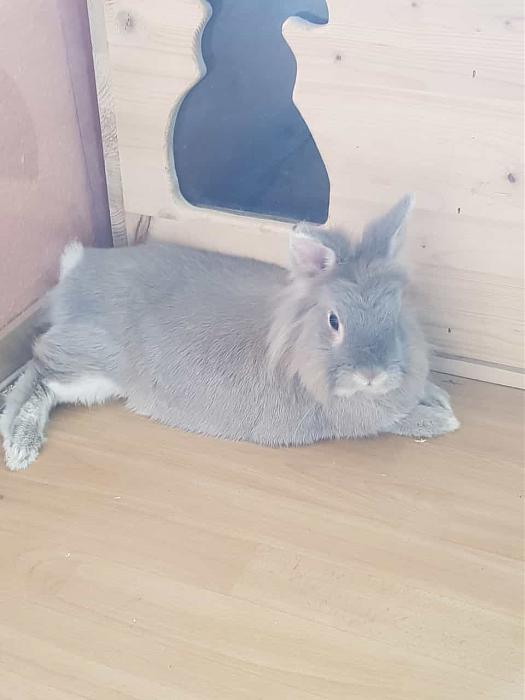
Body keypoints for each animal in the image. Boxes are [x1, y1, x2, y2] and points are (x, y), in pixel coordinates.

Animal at [1, 194, 459, 471]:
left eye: (397, 310)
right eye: (334, 321)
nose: (372, 375)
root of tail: (77, 269)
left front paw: (437, 396)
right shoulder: (353, 417)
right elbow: (396, 421)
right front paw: (442, 420)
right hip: (94, 365)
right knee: (40, 374)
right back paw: (20, 446)